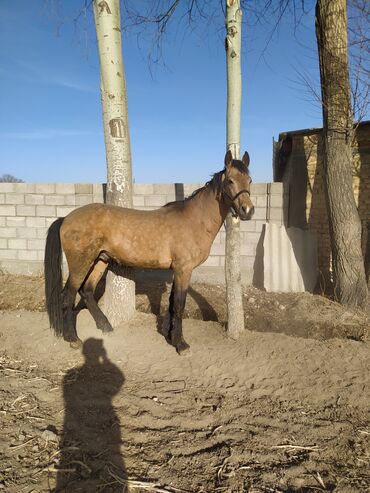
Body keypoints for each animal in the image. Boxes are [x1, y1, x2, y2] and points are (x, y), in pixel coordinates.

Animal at [44, 150, 254, 354]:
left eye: (250, 180)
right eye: (230, 180)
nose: (248, 211)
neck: (194, 220)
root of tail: (65, 218)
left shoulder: (177, 270)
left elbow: (172, 303)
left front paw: (169, 335)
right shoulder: (184, 269)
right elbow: (179, 304)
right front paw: (181, 344)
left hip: (100, 260)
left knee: (86, 291)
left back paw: (106, 327)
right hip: (80, 263)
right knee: (68, 295)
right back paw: (73, 339)